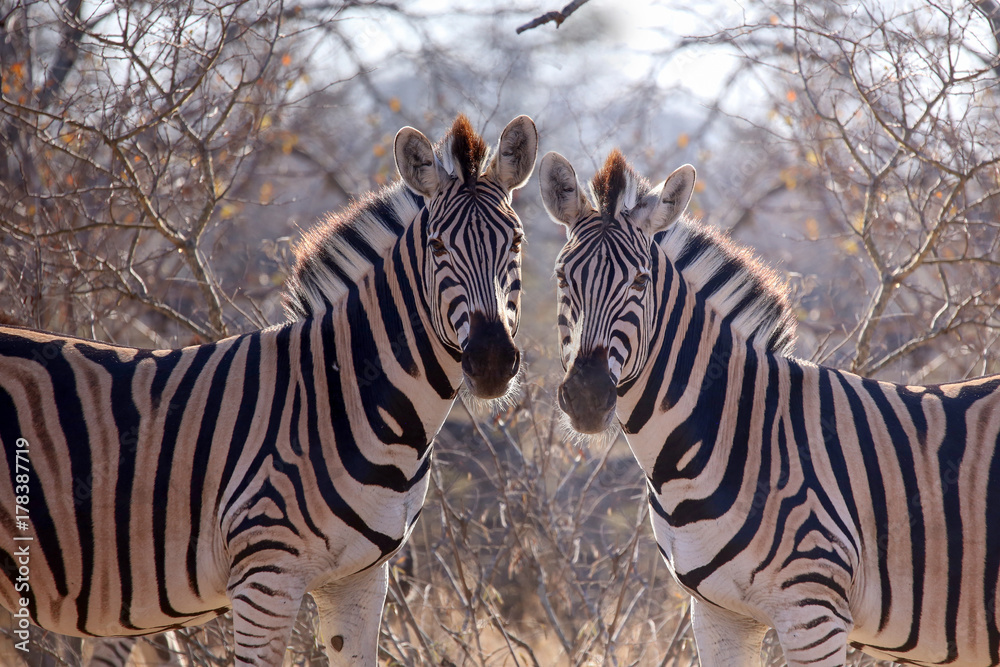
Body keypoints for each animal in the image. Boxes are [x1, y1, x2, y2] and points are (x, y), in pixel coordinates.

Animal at [0, 113, 537, 666]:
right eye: (437, 247)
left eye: (517, 242)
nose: (492, 361)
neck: (355, 402)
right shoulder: (265, 581)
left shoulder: (360, 581)